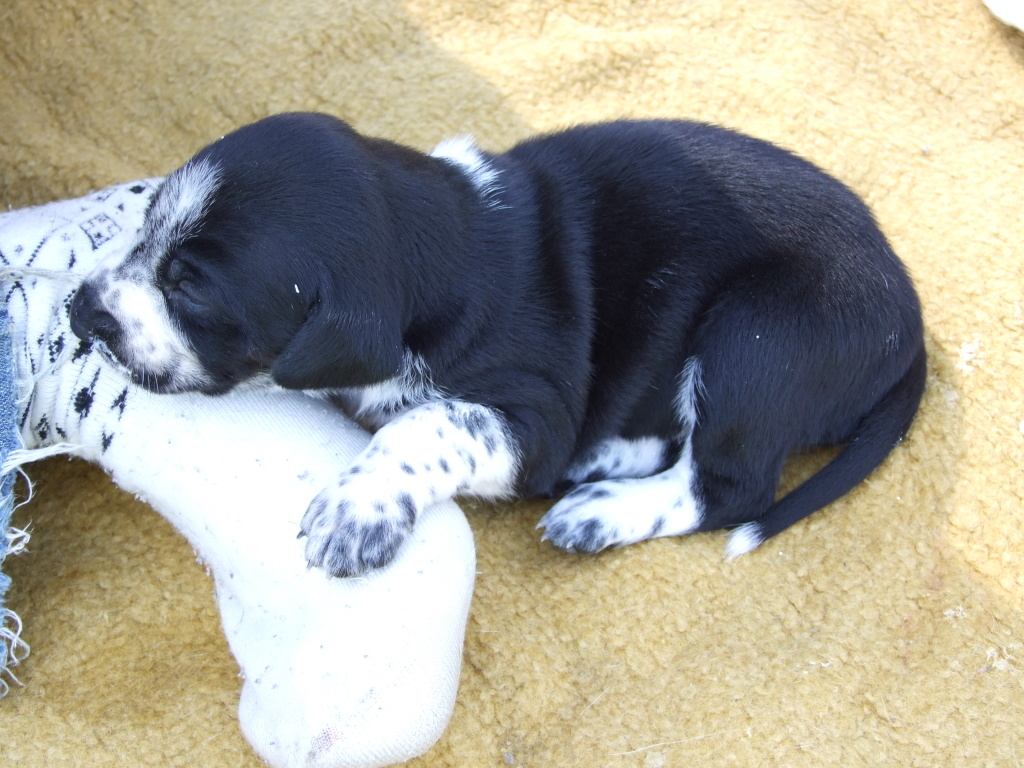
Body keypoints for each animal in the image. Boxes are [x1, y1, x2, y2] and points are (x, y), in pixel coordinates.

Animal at [69, 112, 926, 577]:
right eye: (148, 227)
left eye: (191, 288)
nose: (83, 312)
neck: (438, 238)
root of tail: (911, 322)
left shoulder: (533, 410)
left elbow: (429, 423)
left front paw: (356, 510)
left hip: (755, 337)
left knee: (730, 486)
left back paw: (603, 510)